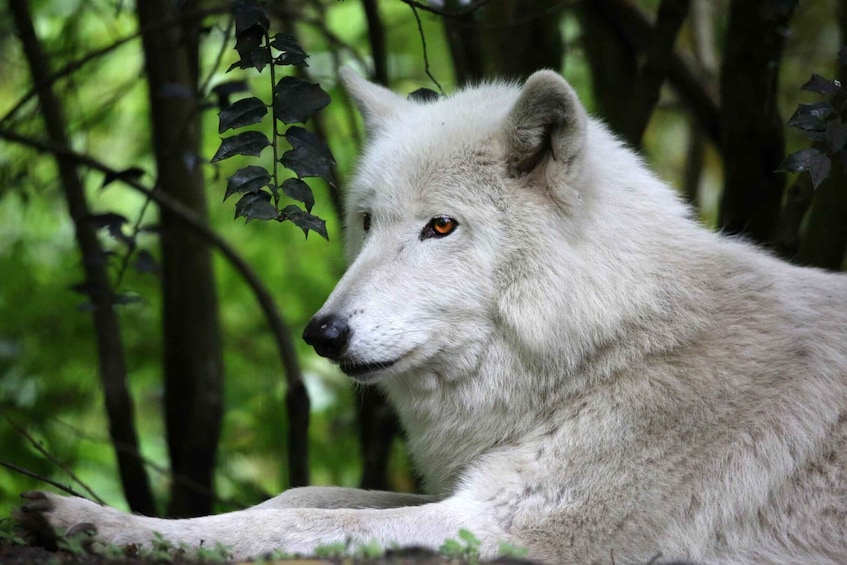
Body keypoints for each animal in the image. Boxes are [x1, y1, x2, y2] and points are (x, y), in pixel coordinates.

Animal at [15, 69, 847, 563]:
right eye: (366, 220)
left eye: (439, 226)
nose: (321, 334)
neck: (608, 343)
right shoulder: (466, 494)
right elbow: (300, 495)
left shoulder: (516, 529)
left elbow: (294, 523)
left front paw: (97, 522)